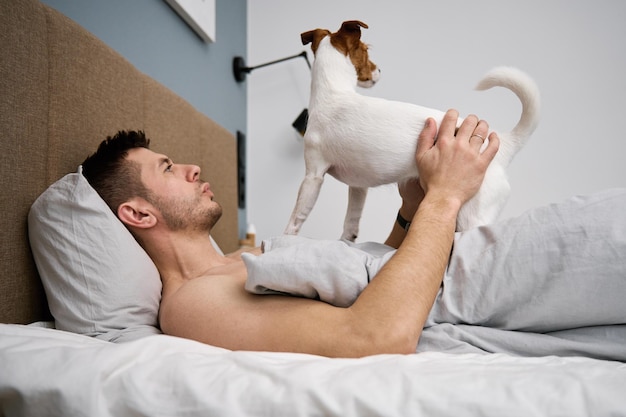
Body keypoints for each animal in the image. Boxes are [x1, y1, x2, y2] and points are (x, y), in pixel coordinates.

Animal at [282, 20, 536, 240]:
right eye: (366, 51)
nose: (380, 70)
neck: (333, 93)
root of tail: (504, 142)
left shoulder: (313, 176)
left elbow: (296, 218)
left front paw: (284, 240)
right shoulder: (358, 187)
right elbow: (351, 223)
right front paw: (346, 241)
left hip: (472, 215)